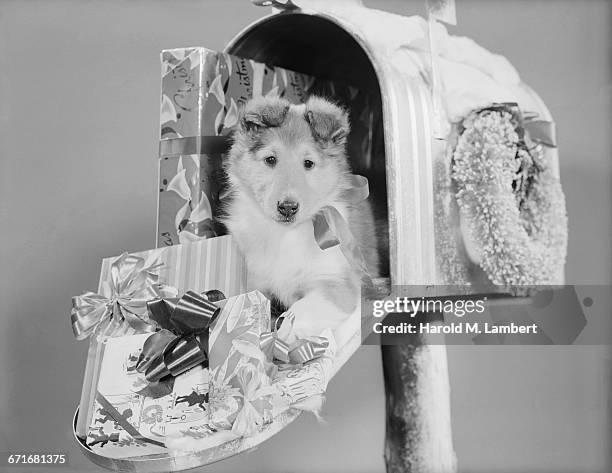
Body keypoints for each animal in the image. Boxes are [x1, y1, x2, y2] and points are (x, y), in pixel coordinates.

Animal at [224, 96, 378, 338]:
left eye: (308, 163)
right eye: (270, 159)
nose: (287, 208)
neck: (285, 234)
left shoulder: (338, 284)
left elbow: (300, 310)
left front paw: (285, 333)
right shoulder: (255, 279)